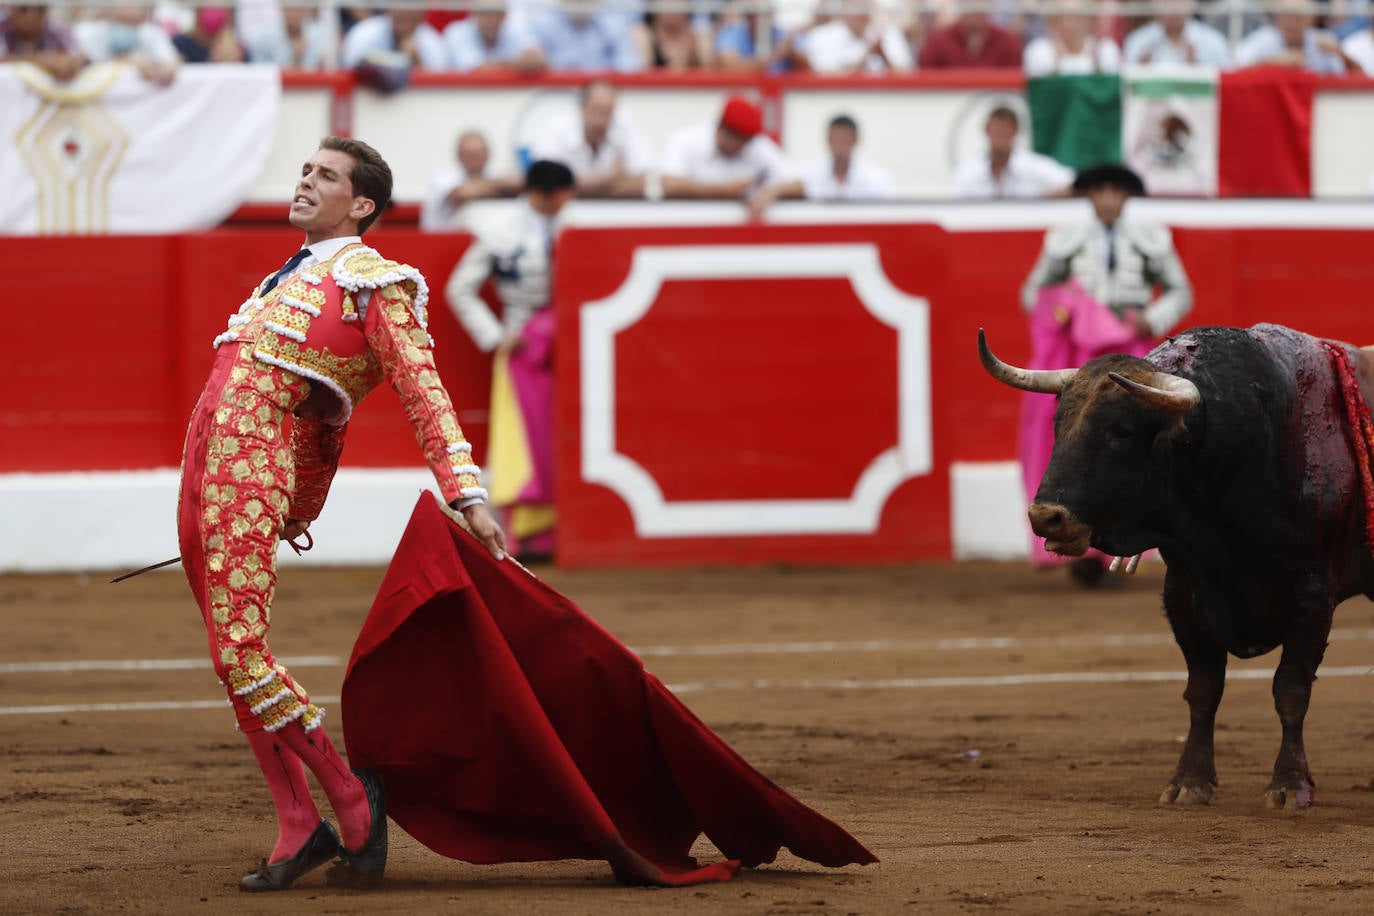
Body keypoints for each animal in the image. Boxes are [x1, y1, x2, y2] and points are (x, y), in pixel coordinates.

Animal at [983, 324, 1374, 807]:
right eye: (1058, 424)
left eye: (1122, 430)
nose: (1045, 517)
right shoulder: (1184, 593)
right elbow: (1203, 690)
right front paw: (1189, 781)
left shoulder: (1312, 598)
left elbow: (1291, 689)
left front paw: (1288, 785)